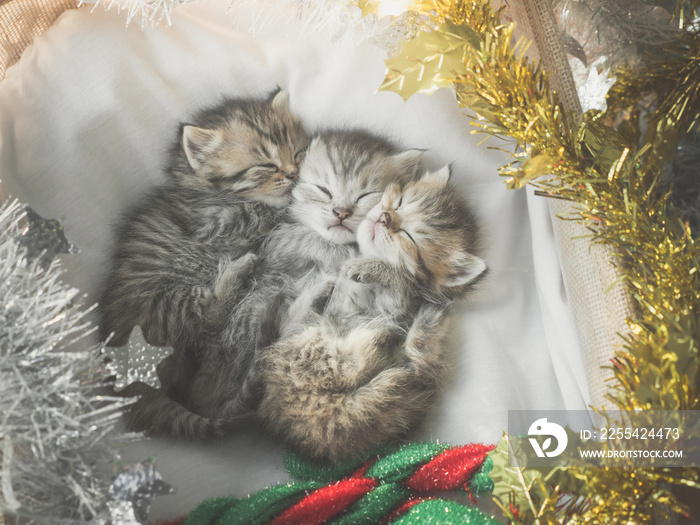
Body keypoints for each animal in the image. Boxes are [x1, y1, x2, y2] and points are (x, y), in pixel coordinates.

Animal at [121, 128, 422, 438]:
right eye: (323, 190)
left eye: (366, 196)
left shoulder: (393, 307)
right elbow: (311, 241)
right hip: (258, 302)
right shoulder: (276, 243)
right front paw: (344, 256)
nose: (341, 212)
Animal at [256, 166, 486, 460]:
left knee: (394, 362)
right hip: (300, 342)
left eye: (409, 236)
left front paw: (372, 267)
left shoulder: (396, 307)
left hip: (318, 353)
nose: (385, 217)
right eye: (399, 202)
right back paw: (323, 290)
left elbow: (399, 282)